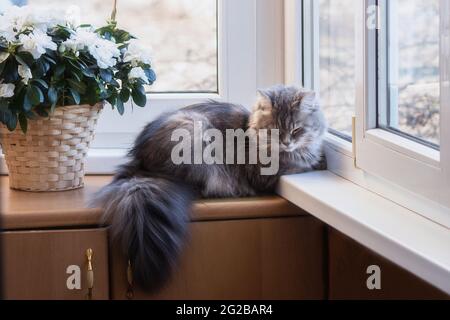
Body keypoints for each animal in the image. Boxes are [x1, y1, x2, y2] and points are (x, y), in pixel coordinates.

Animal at [93, 84, 328, 292]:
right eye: (274, 130)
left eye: (297, 129)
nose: (286, 143)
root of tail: (140, 161)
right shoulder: (263, 174)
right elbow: (299, 164)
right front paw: (317, 161)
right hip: (196, 135)